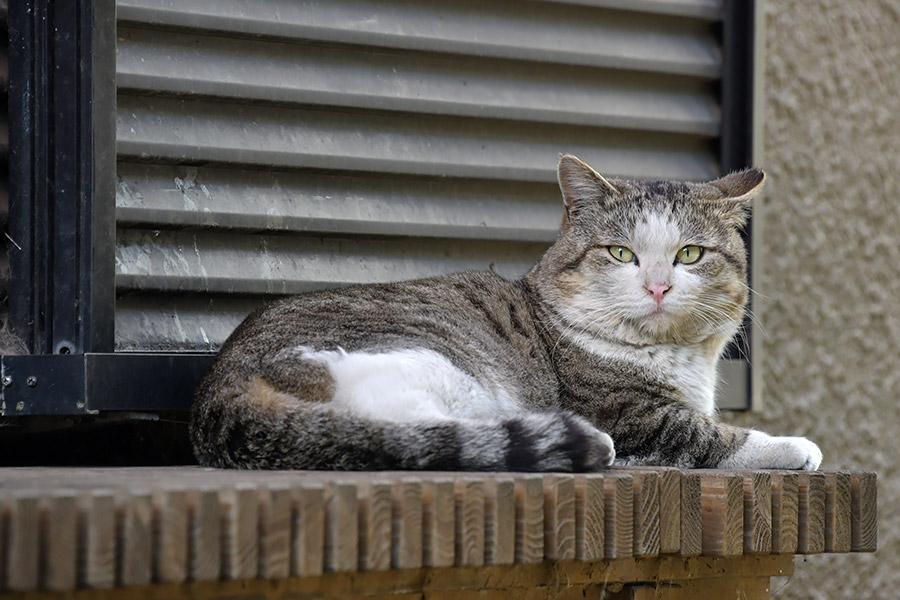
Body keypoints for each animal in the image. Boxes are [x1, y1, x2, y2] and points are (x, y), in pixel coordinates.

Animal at [190, 155, 824, 474]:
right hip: (434, 362)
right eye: (621, 253)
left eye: (689, 254)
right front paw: (792, 446)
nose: (658, 286)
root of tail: (216, 398)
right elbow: (703, 433)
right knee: (408, 434)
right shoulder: (629, 413)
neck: (677, 358)